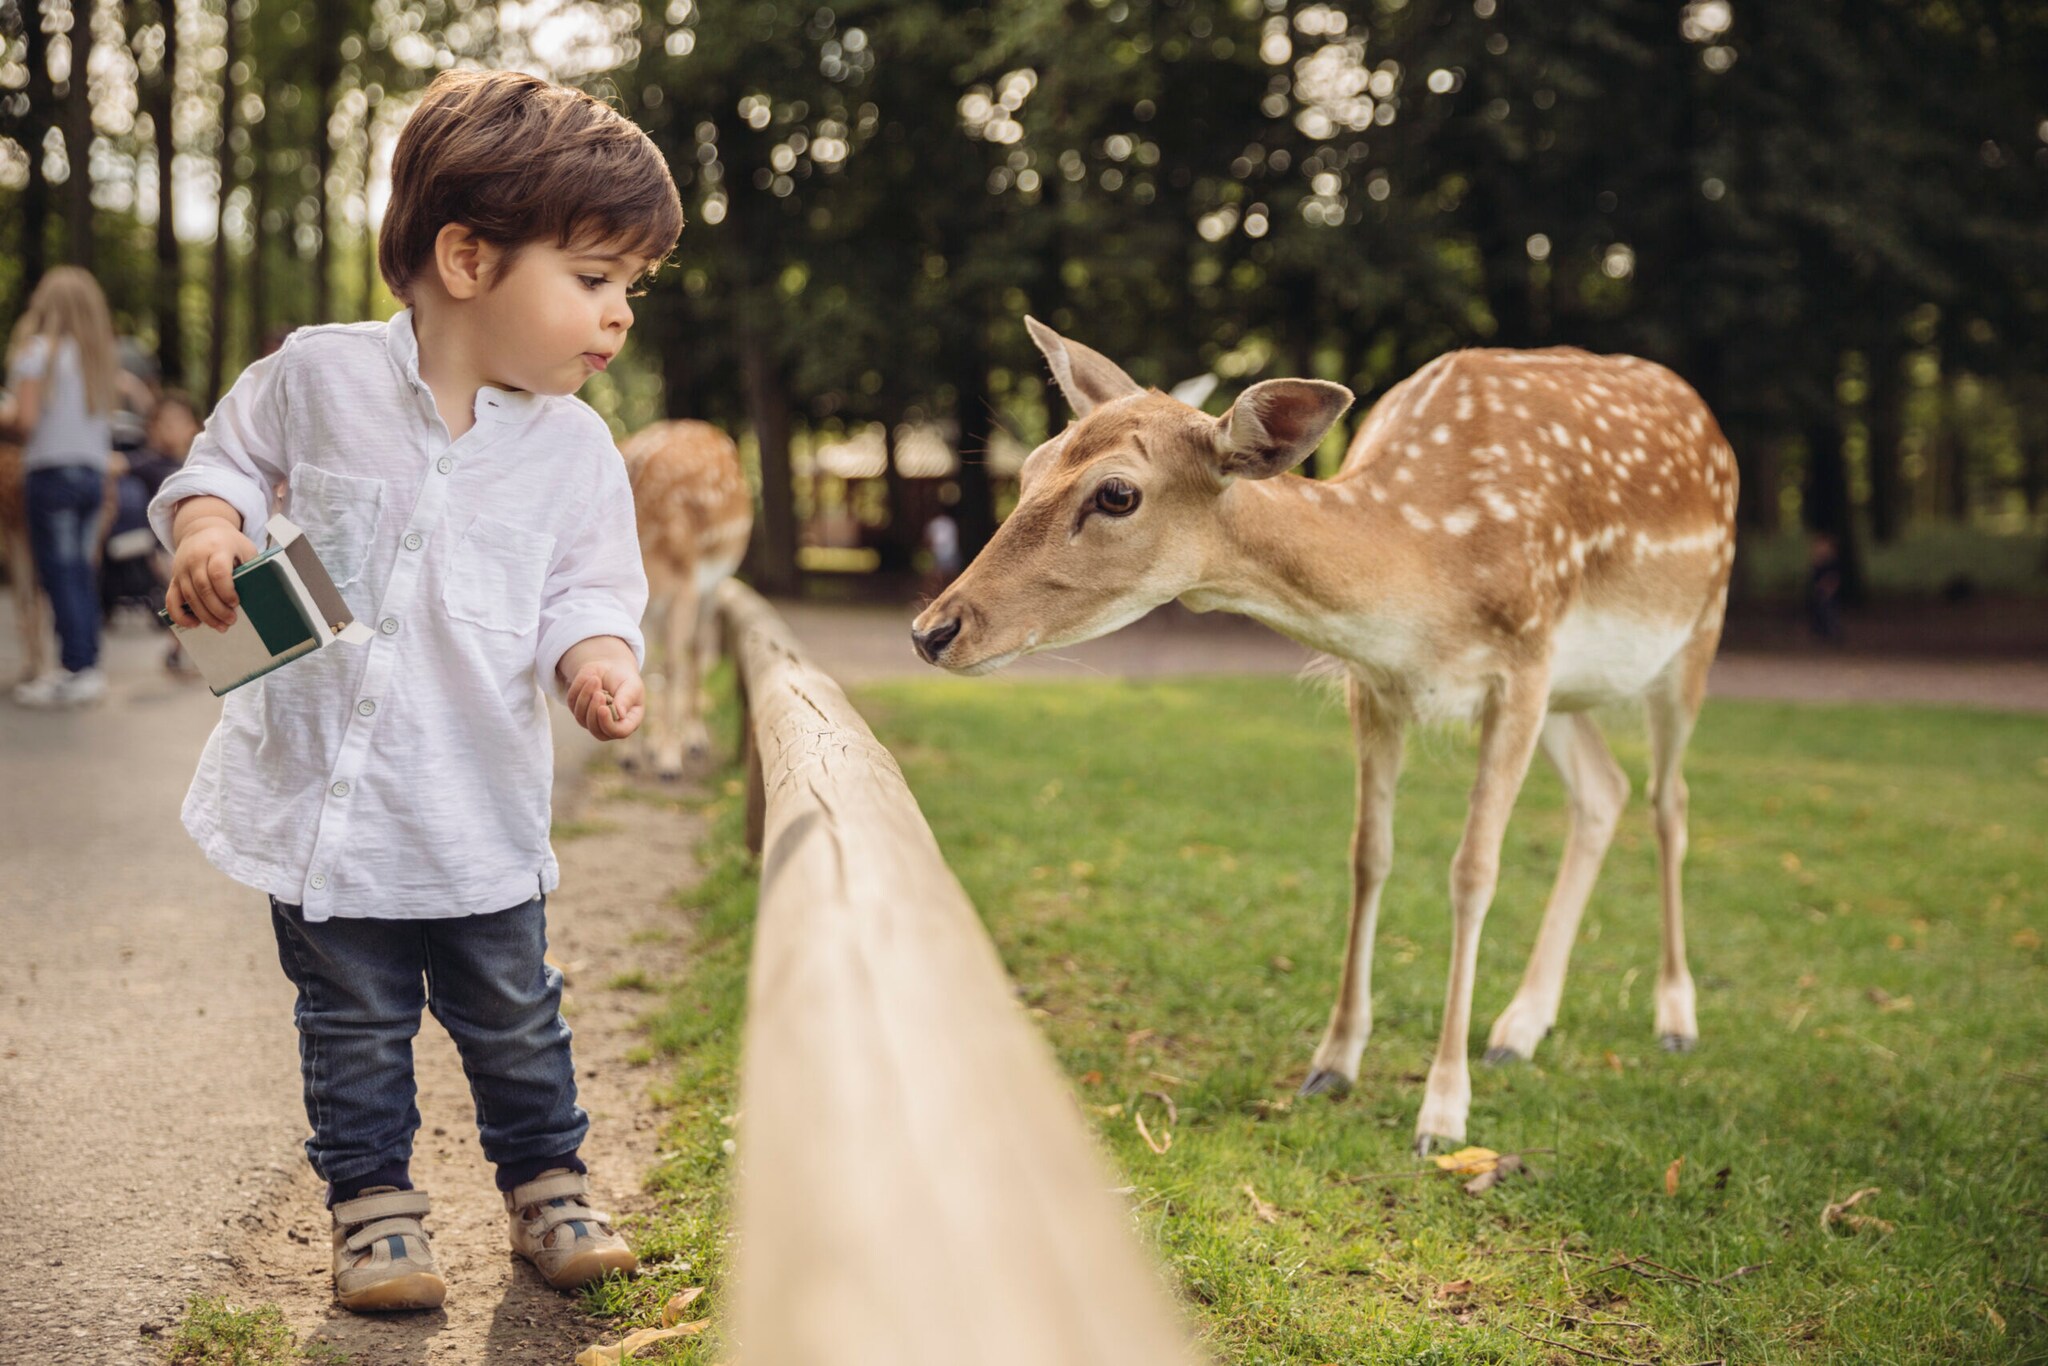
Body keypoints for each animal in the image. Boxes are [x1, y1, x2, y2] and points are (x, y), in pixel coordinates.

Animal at [619, 419, 754, 780]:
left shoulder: (685, 585)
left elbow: (673, 662)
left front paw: (669, 762)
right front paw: (630, 755)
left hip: (714, 582)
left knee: (694, 647)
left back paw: (693, 741)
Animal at [910, 319, 1737, 1153]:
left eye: (1117, 493)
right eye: (1032, 469)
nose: (932, 630)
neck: (1422, 580)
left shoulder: (1524, 667)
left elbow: (1473, 872)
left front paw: (1443, 1110)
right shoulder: (1374, 686)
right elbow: (1368, 855)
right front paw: (1333, 1063)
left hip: (1694, 634)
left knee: (1670, 800)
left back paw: (1675, 1016)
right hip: (1572, 695)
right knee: (1605, 791)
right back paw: (1519, 1028)